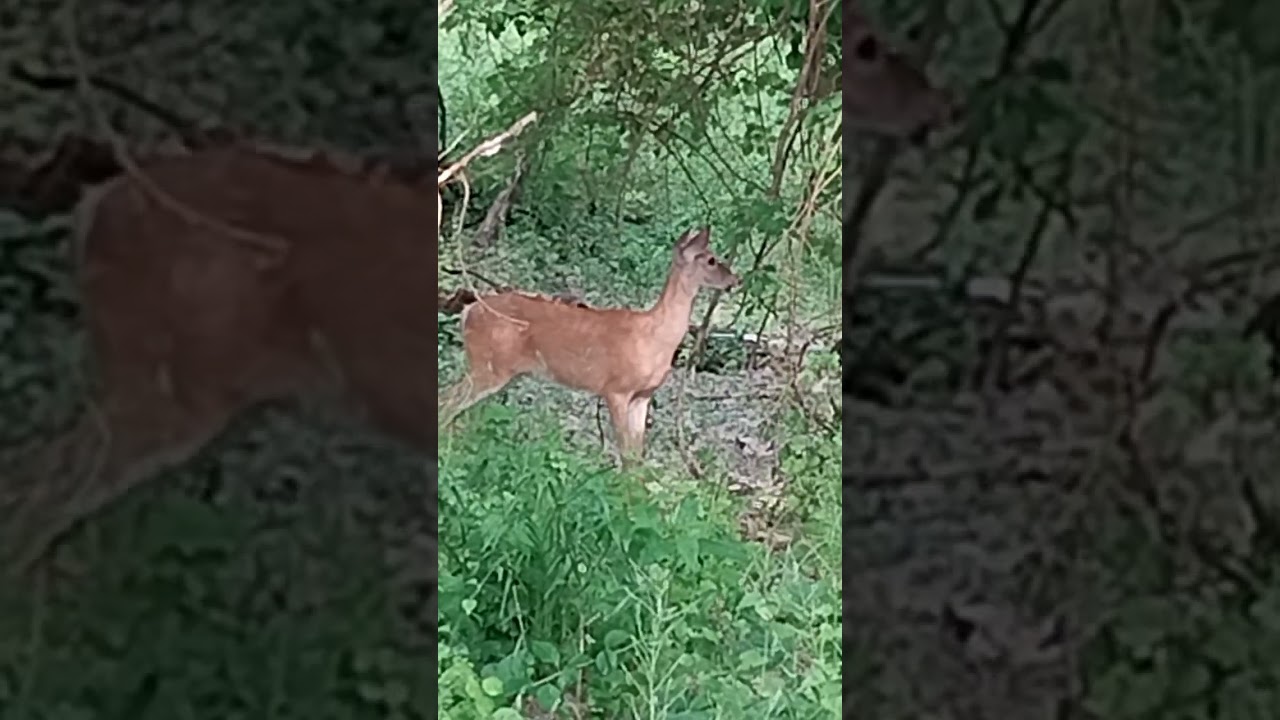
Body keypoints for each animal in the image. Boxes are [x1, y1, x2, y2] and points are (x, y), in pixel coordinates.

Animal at [438, 227, 740, 466]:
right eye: (711, 259)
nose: (736, 279)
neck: (655, 337)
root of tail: (468, 312)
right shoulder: (616, 389)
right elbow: (625, 454)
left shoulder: (643, 395)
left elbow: (636, 457)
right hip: (487, 367)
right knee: (448, 403)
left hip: (498, 371)